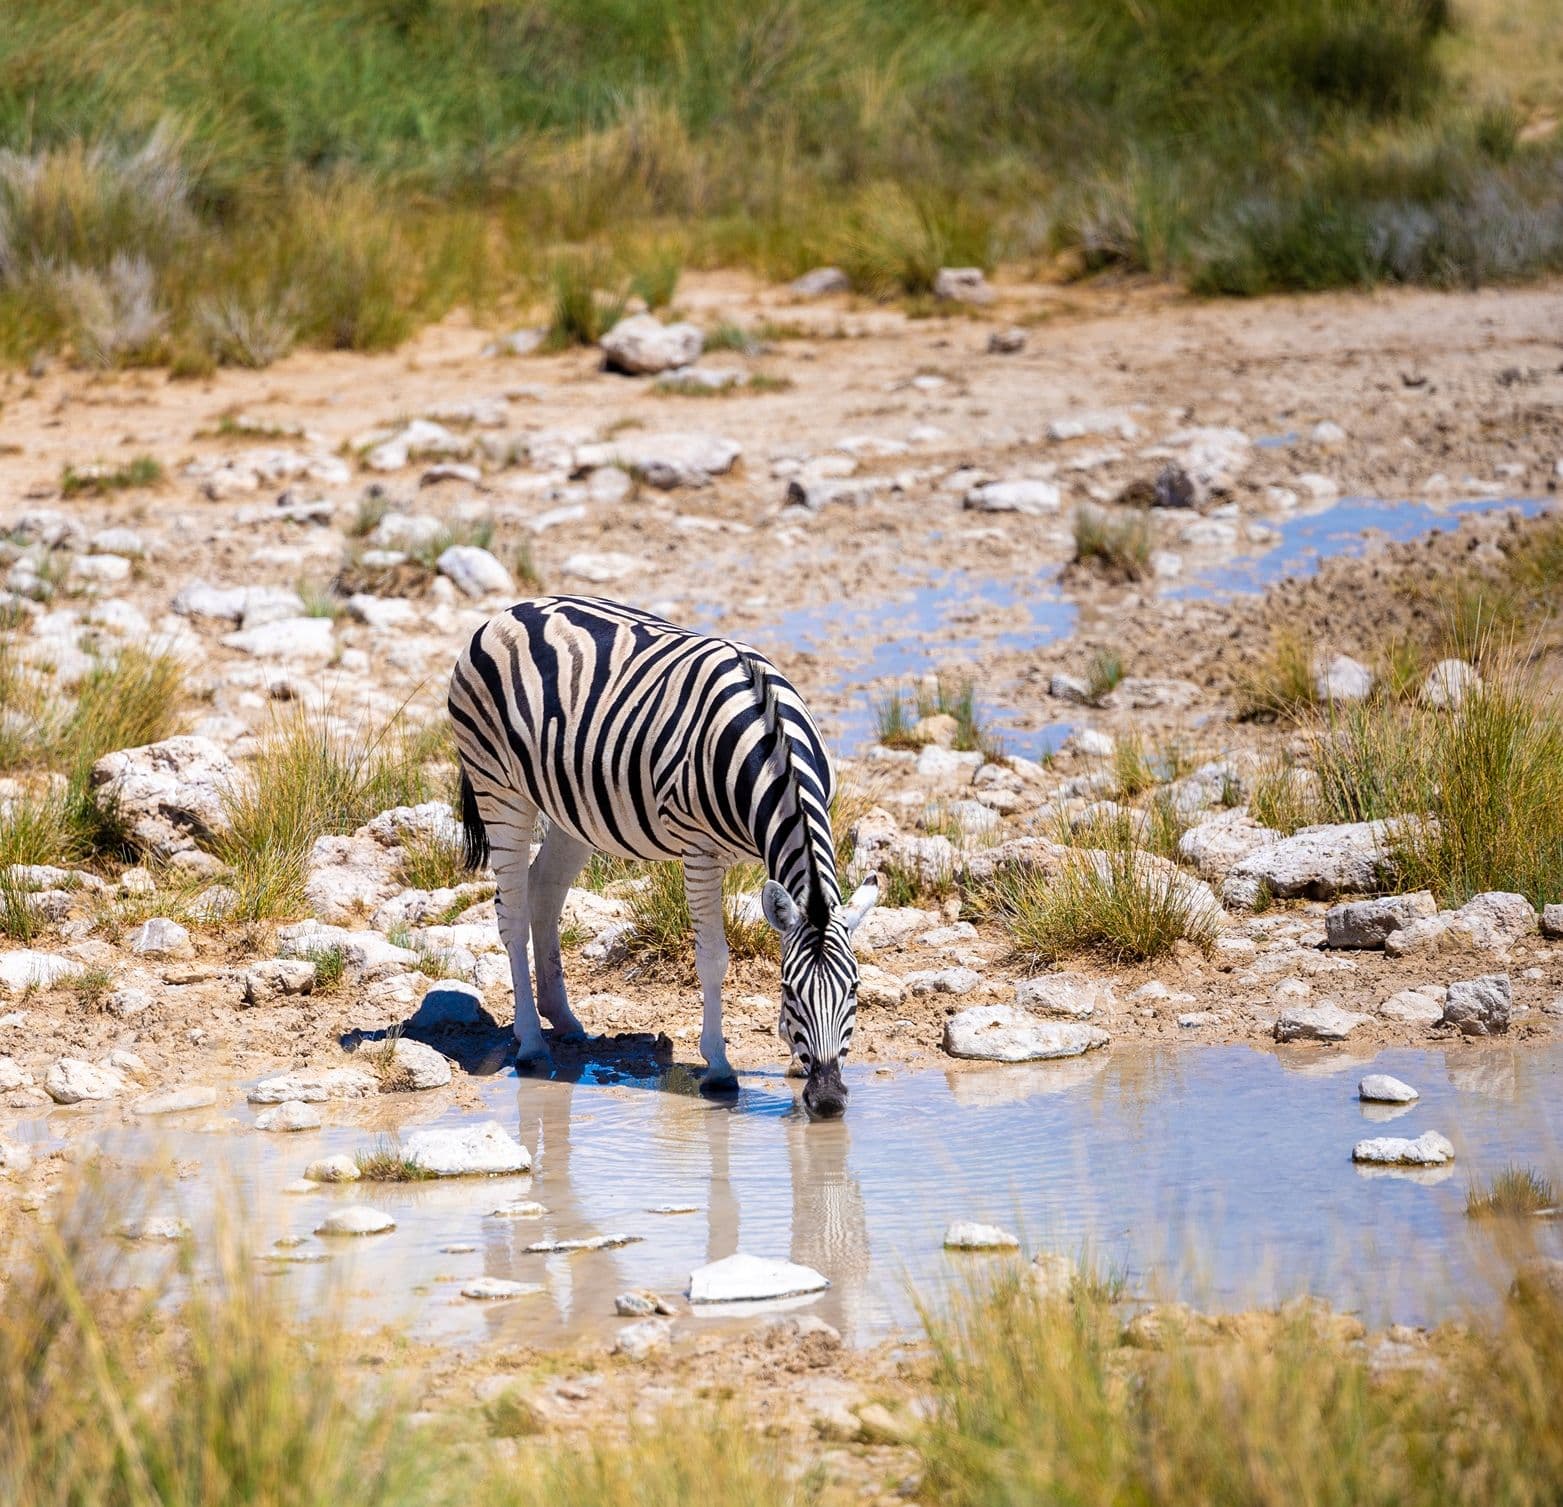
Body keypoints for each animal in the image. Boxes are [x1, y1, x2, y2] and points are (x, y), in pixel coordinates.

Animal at [447, 595, 879, 1119]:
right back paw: (531, 1042)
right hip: (498, 787)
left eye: (854, 990)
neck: (770, 745)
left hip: (573, 808)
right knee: (510, 911)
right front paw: (719, 1066)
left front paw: (793, 1059)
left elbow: (783, 938)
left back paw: (564, 1019)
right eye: (792, 992)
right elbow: (713, 959)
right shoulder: (700, 853)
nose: (829, 1100)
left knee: (543, 893)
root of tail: (513, 609)